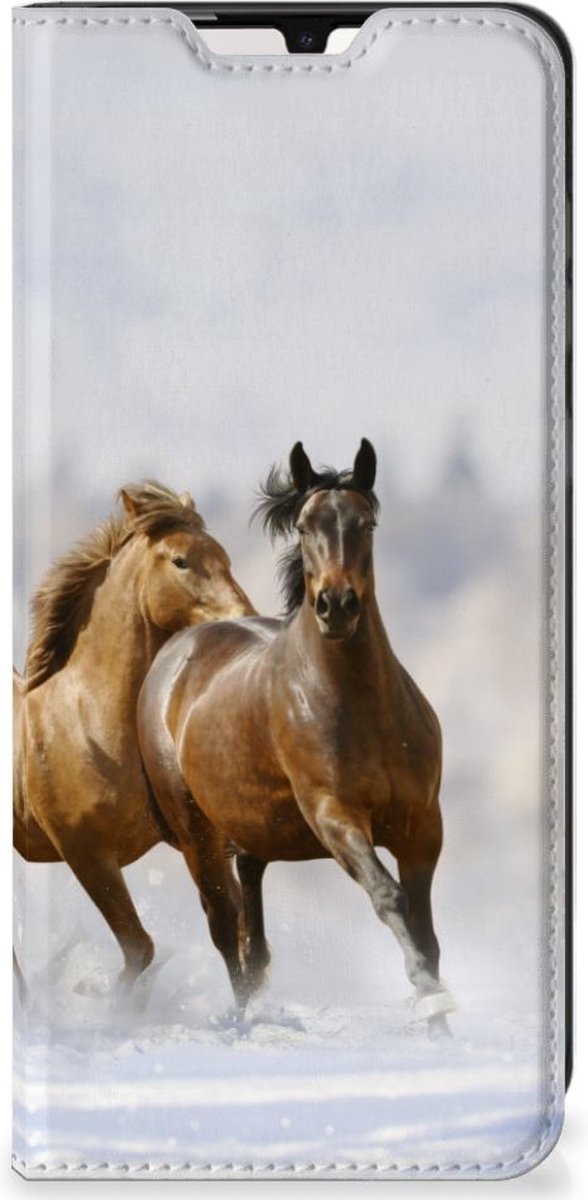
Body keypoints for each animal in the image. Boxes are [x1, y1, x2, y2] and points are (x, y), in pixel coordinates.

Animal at [14, 481, 253, 987]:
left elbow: (231, 923)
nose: (244, 617)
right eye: (181, 560)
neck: (89, 725)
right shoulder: (86, 854)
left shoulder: (199, 841)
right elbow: (139, 949)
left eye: (223, 555)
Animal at [137, 442, 454, 1031]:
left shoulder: (422, 825)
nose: (336, 605)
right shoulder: (334, 815)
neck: (362, 708)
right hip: (196, 833)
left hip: (253, 831)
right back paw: (243, 1021)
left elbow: (426, 929)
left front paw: (440, 1021)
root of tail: (176, 652)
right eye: (305, 527)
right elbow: (389, 897)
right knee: (224, 926)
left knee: (251, 929)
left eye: (366, 523)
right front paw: (428, 997)